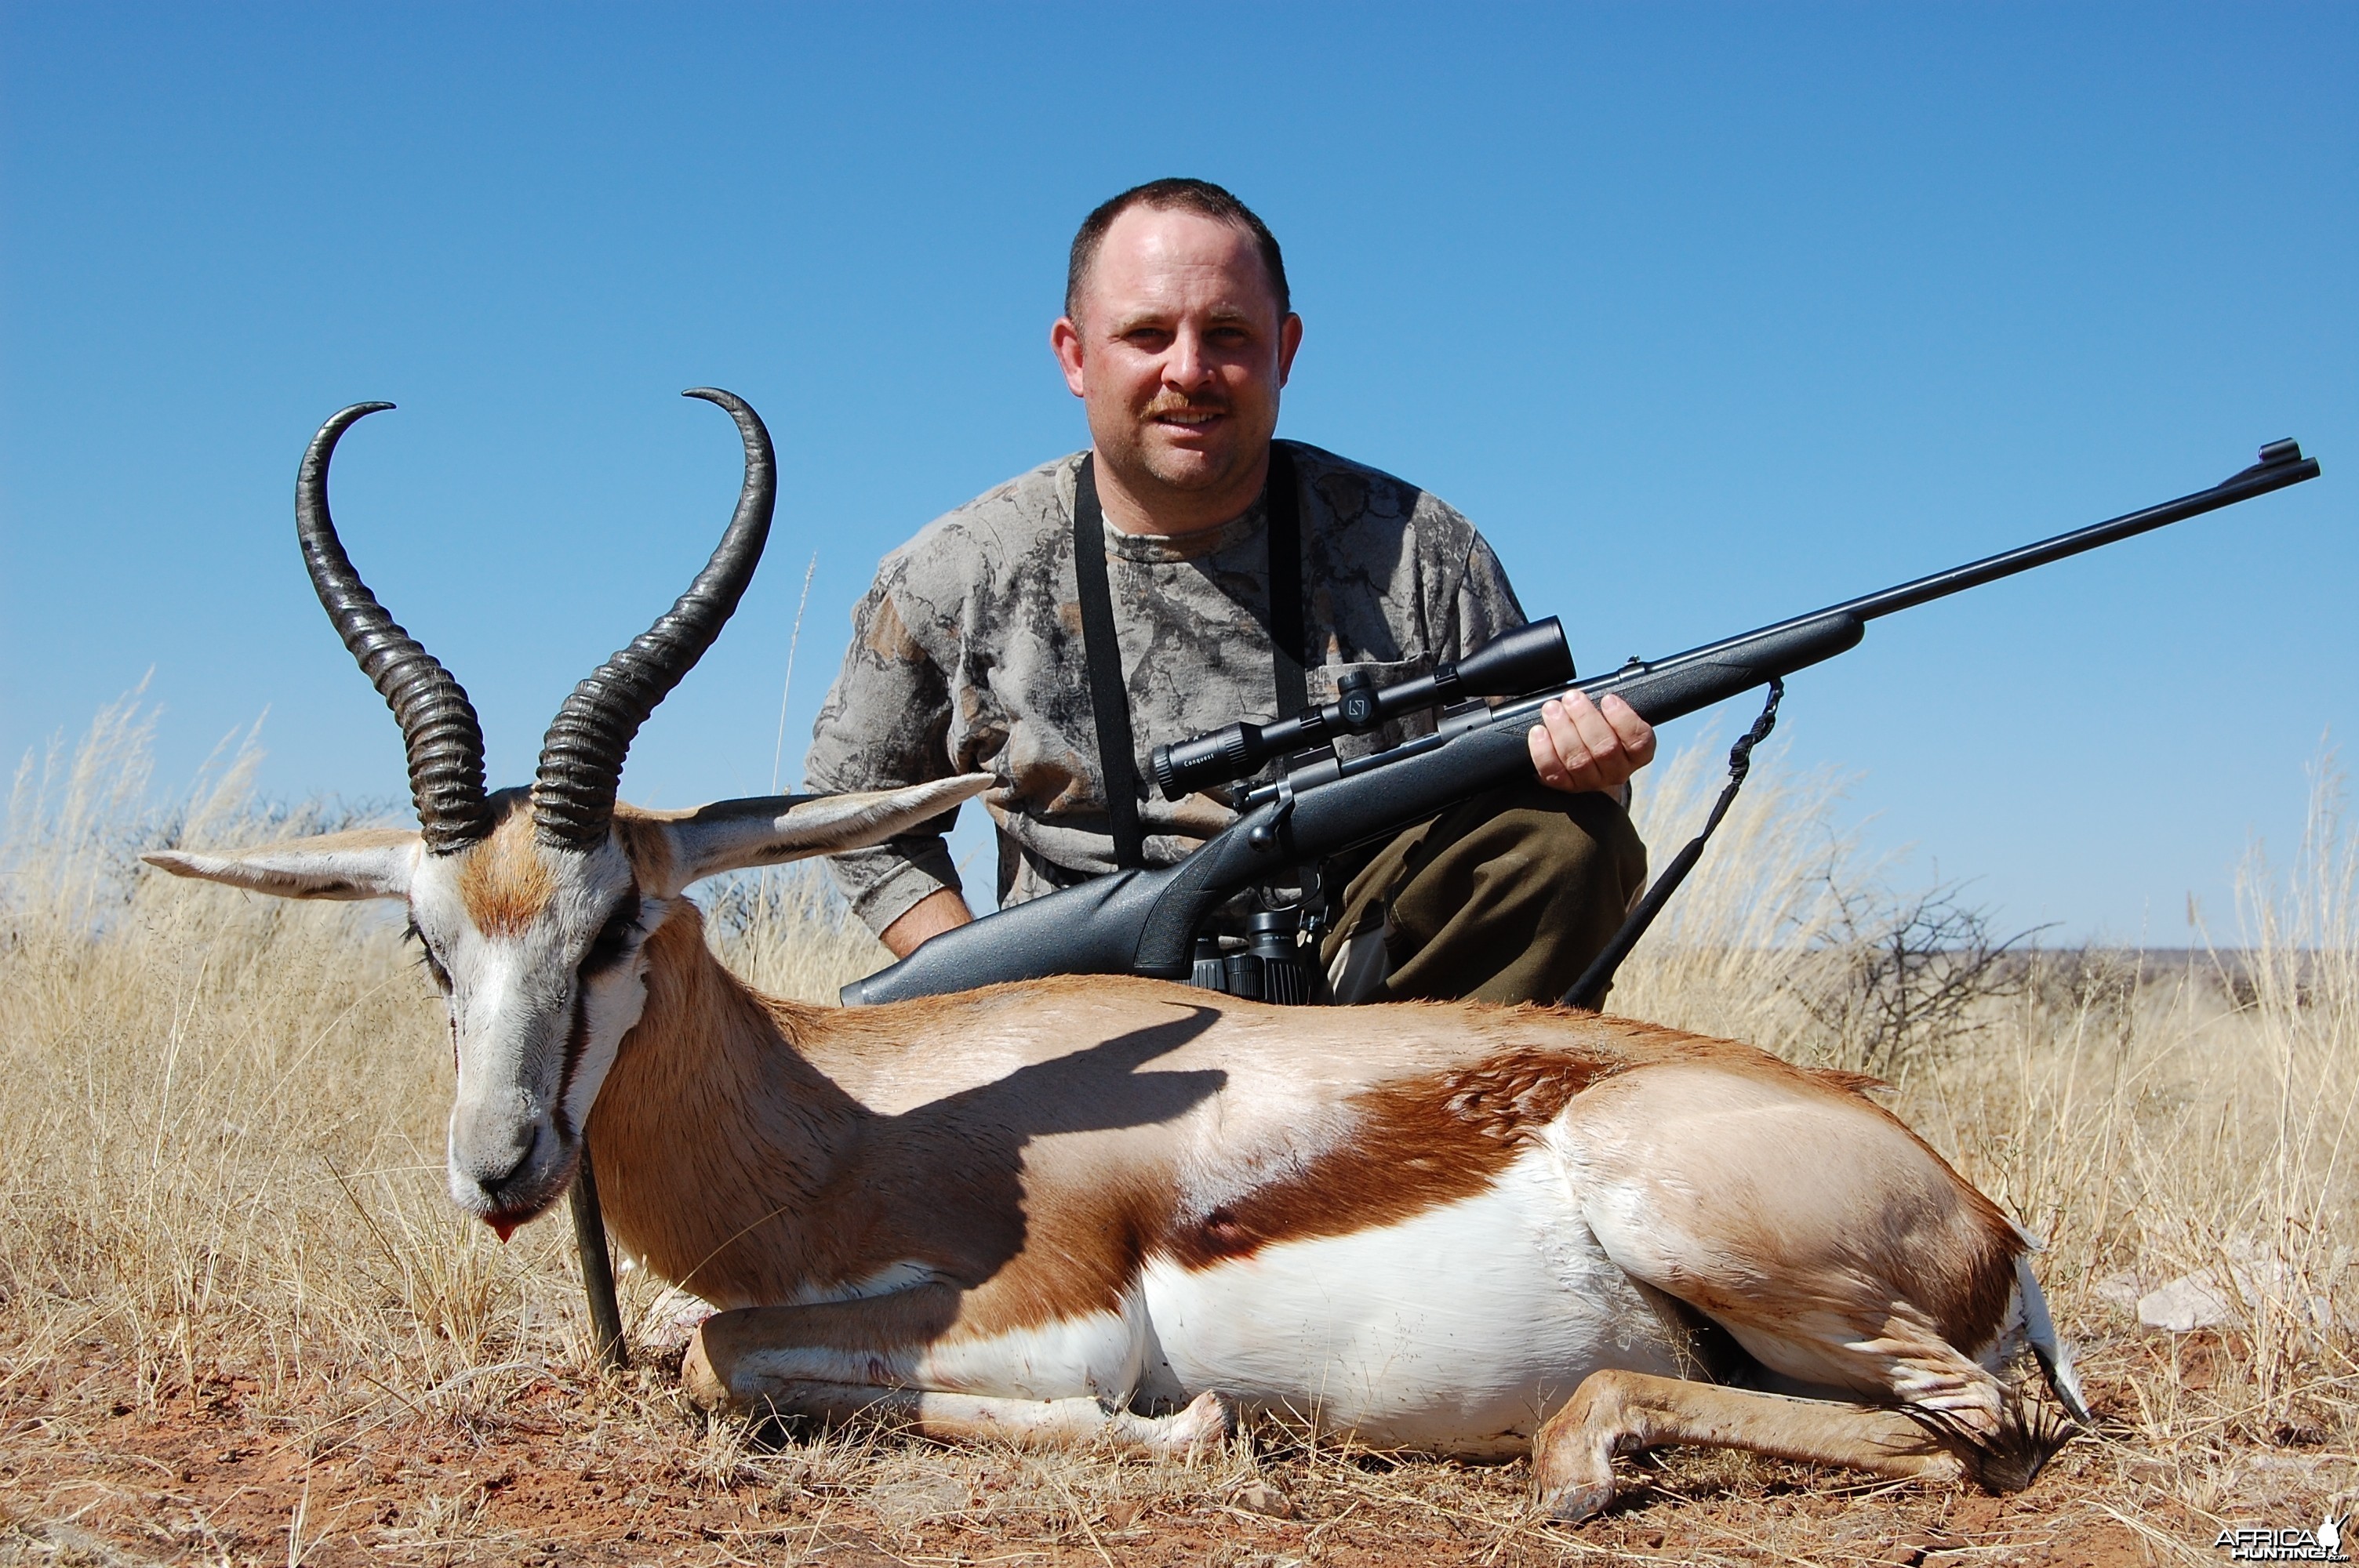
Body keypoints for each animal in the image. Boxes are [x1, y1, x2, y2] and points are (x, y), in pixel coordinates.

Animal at [152, 389, 2085, 1518]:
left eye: (622, 915)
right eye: (425, 940)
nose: (500, 1165)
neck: (849, 1116)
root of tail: (1978, 1214)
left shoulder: (1048, 1322)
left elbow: (716, 1361)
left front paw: (1191, 1431)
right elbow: (685, 1351)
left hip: (1717, 1234)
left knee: (1989, 1432)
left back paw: (1583, 1451)